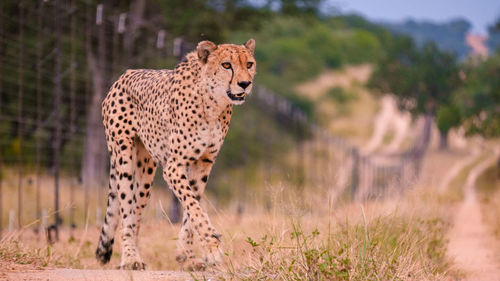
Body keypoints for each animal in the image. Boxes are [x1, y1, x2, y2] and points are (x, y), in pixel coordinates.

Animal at [95, 38, 256, 268]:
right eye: (227, 65)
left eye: (249, 64)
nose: (245, 84)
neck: (212, 103)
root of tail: (124, 74)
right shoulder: (174, 166)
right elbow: (194, 207)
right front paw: (212, 245)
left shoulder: (204, 163)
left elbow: (192, 208)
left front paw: (186, 256)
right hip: (123, 156)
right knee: (126, 209)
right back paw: (131, 258)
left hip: (146, 170)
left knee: (136, 212)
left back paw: (135, 254)